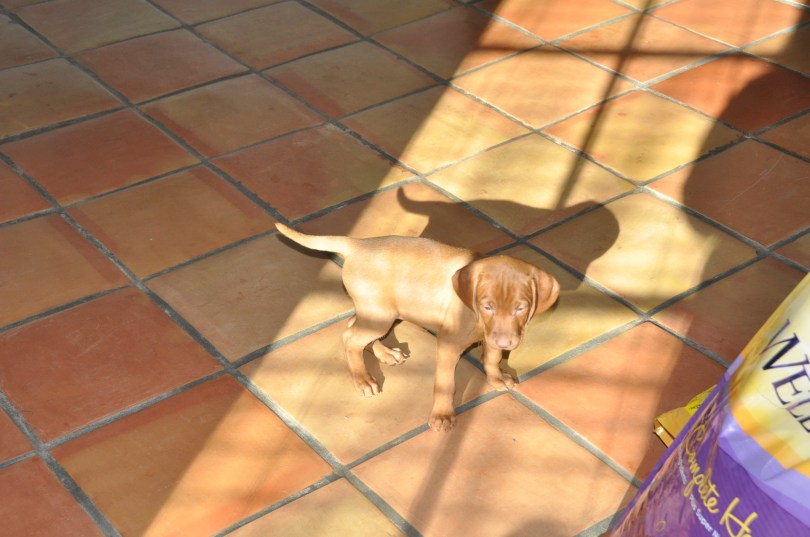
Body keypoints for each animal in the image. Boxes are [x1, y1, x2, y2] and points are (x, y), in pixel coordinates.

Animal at [275, 223, 559, 431]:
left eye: (520, 308)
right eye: (487, 306)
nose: (507, 342)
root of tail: (358, 244)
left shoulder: (493, 336)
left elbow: (492, 356)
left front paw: (496, 376)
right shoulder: (448, 344)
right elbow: (446, 383)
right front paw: (442, 415)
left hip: (383, 311)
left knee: (353, 325)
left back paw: (385, 353)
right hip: (380, 315)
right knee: (349, 336)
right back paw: (363, 378)